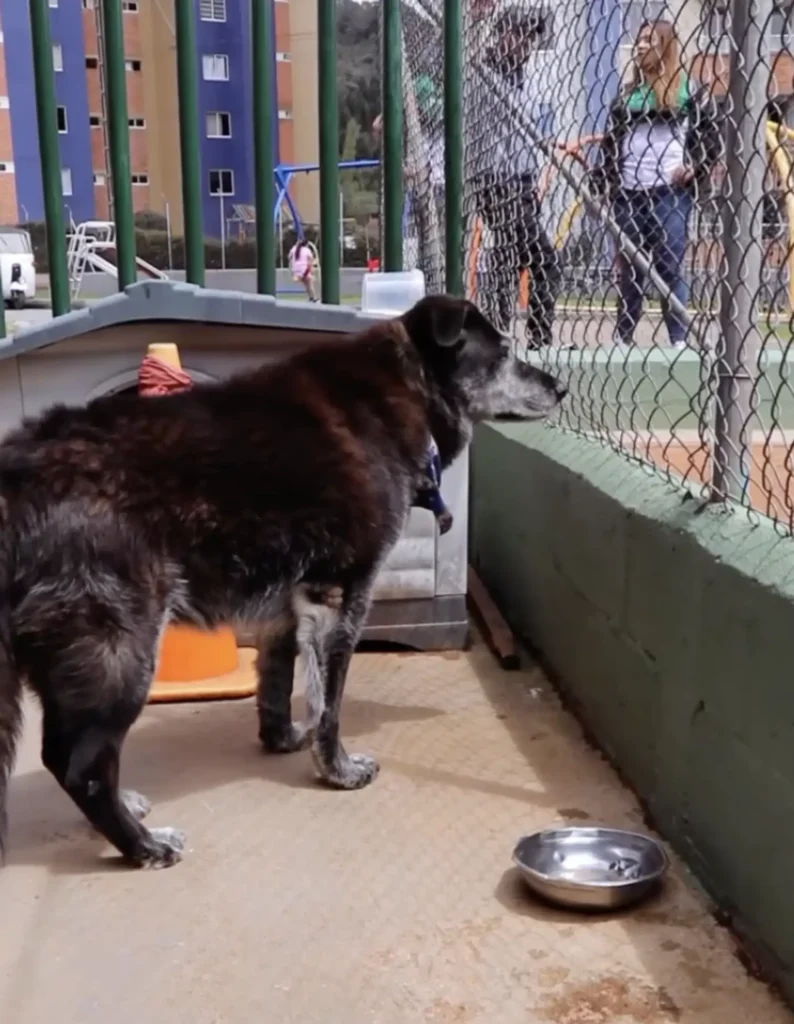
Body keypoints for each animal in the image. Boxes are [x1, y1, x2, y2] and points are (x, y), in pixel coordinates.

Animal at [0, 294, 565, 868]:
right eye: (504, 354)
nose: (561, 388)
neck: (405, 386)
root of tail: (14, 478)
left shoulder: (289, 605)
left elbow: (277, 681)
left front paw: (282, 739)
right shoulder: (341, 596)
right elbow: (329, 704)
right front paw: (338, 770)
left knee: (64, 753)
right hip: (120, 649)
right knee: (82, 766)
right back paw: (144, 846)